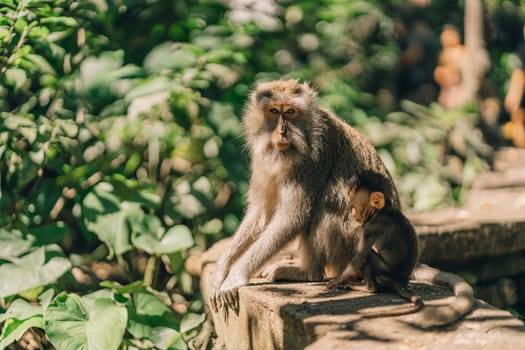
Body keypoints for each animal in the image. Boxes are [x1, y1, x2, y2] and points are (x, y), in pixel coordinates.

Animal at [328, 172, 422, 312]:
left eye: (353, 206)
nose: (353, 214)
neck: (380, 210)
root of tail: (401, 281)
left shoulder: (370, 227)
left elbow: (360, 256)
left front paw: (337, 280)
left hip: (385, 275)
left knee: (369, 256)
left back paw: (369, 288)